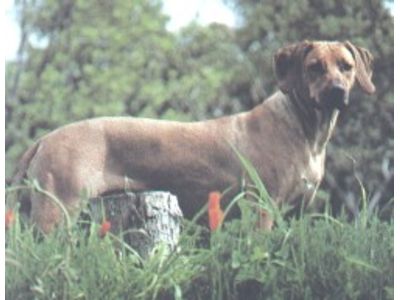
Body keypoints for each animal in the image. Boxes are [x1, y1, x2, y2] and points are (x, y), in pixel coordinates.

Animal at [11, 40, 376, 232]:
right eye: (314, 67)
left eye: (346, 66)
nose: (337, 91)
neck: (305, 129)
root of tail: (44, 140)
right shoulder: (262, 207)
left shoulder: (298, 211)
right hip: (57, 210)